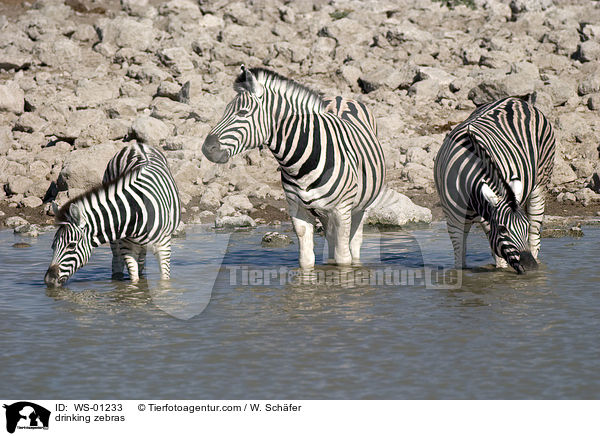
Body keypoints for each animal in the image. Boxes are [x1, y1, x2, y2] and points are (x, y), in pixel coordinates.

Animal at [44, 141, 182, 288]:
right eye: (53, 245)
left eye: (71, 246)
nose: (49, 280)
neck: (135, 211)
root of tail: (135, 145)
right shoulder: (127, 247)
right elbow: (134, 280)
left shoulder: (164, 246)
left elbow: (164, 280)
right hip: (116, 240)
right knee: (117, 261)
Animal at [202, 66, 384, 268]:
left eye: (242, 112)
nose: (207, 148)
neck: (302, 165)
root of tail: (341, 98)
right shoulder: (298, 212)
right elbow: (306, 260)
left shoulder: (342, 210)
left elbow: (344, 259)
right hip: (325, 214)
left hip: (360, 207)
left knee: (355, 242)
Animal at [434, 97, 556, 274]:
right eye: (502, 229)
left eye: (524, 226)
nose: (531, 268)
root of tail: (516, 100)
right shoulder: (453, 221)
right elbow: (459, 258)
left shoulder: (488, 218)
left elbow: (500, 260)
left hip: (540, 182)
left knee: (535, 234)